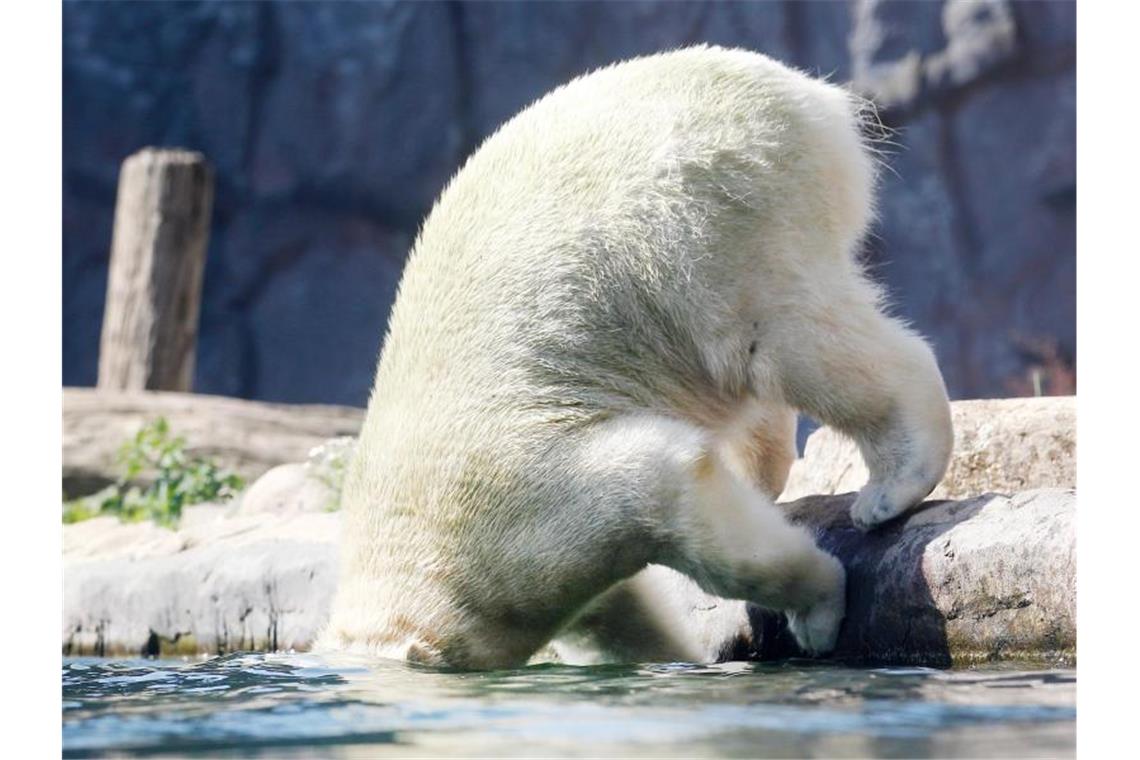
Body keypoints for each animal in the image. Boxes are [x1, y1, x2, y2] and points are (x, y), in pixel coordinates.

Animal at [321, 46, 953, 669]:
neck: (407, 535)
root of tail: (811, 98)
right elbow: (618, 612)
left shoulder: (518, 507)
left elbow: (663, 485)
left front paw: (816, 613)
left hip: (710, 221)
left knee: (786, 343)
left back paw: (890, 486)